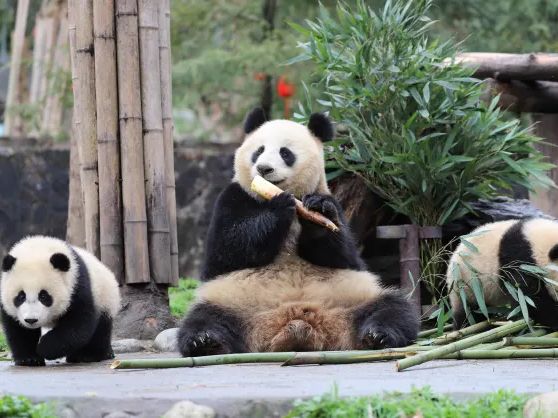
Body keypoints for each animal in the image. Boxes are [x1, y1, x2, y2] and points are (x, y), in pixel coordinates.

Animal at [0, 235, 121, 366]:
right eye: (21, 296)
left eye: (44, 296)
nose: (31, 320)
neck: (39, 247)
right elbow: (19, 330)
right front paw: (29, 359)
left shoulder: (77, 285)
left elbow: (77, 325)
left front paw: (44, 347)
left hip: (105, 298)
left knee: (100, 330)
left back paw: (89, 355)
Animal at [179, 108, 420, 356]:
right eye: (259, 151)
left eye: (285, 153)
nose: (264, 168)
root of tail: (295, 322)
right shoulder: (232, 197)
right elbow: (226, 250)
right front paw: (278, 208)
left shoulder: (333, 201)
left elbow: (344, 255)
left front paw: (318, 211)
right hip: (232, 299)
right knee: (204, 317)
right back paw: (206, 342)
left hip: (354, 296)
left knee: (394, 307)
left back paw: (378, 335)